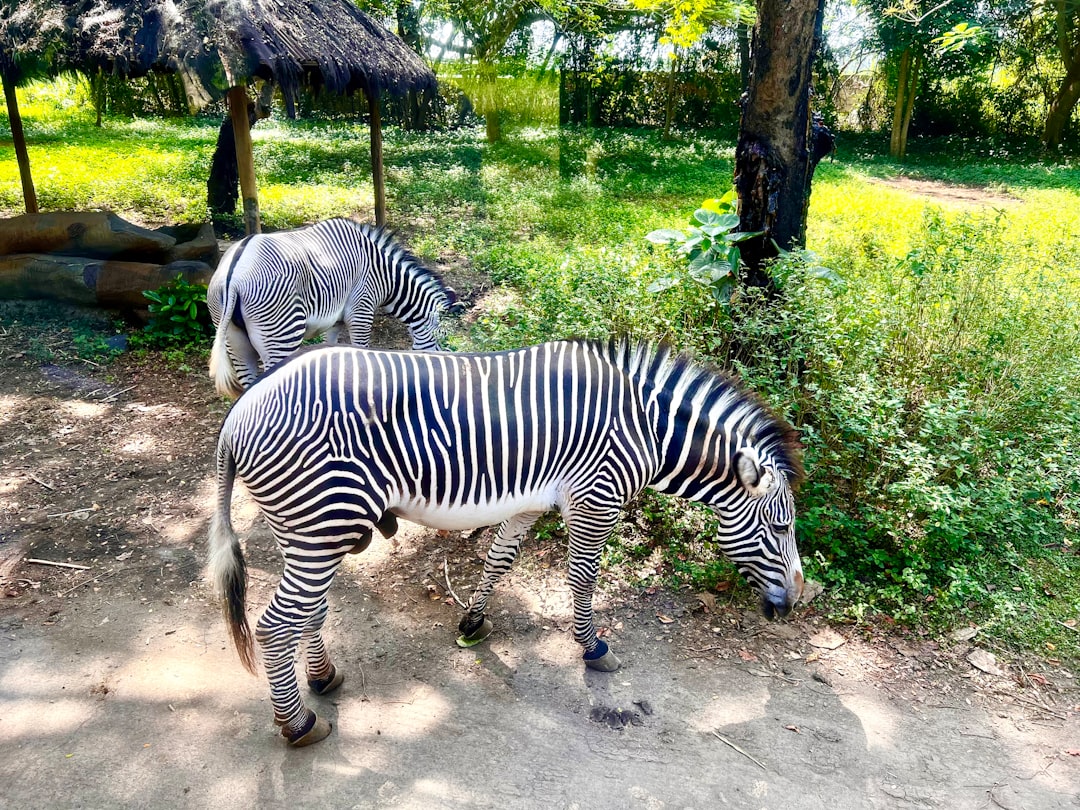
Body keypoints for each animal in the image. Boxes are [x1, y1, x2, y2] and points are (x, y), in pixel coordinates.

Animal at [206, 219, 460, 399]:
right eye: (442, 339)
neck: (385, 275)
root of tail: (234, 276)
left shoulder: (335, 319)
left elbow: (331, 344)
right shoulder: (361, 309)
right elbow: (361, 349)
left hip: (234, 341)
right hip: (280, 335)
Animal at [206, 336, 807, 747]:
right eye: (780, 528)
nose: (795, 604)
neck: (646, 430)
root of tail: (238, 412)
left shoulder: (529, 503)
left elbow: (499, 559)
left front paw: (472, 622)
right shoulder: (596, 498)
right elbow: (583, 577)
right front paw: (592, 648)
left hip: (308, 527)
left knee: (307, 611)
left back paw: (323, 677)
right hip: (321, 522)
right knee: (276, 624)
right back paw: (297, 724)